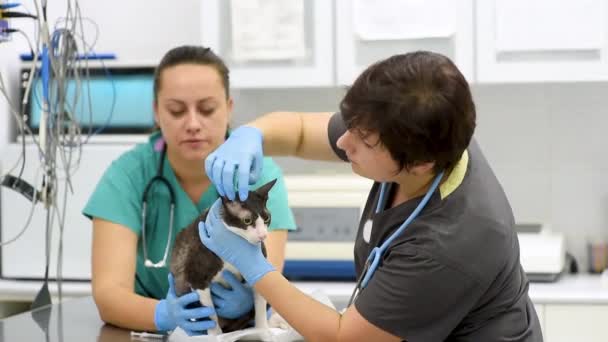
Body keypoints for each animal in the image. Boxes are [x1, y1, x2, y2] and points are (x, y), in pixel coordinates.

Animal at [170, 179, 276, 336]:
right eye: (247, 220)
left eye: (267, 218)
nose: (263, 235)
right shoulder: (196, 277)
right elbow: (210, 313)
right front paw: (215, 335)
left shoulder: (257, 268)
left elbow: (261, 303)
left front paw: (263, 330)